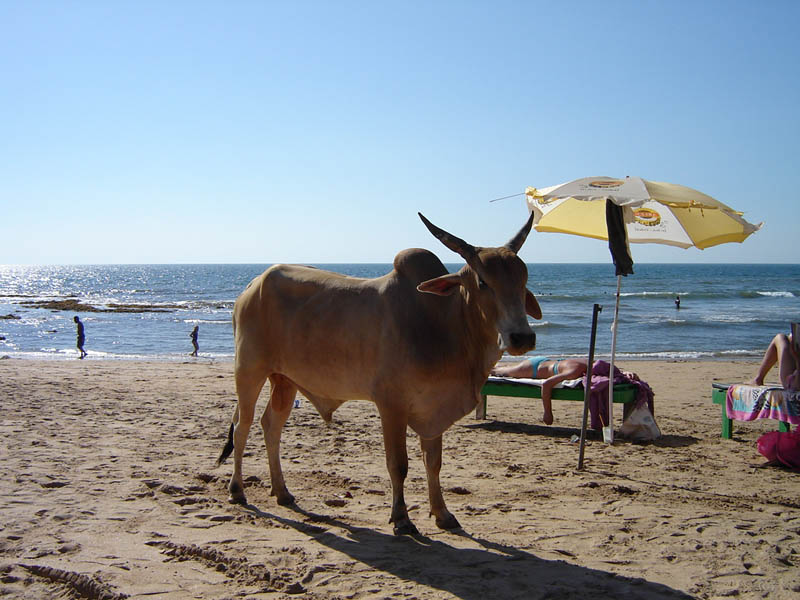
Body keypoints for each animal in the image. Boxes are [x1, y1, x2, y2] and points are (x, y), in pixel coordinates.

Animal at [216, 212, 540, 536]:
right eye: (483, 281)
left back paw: (282, 492)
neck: (444, 323)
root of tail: (252, 285)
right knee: (242, 427)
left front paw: (443, 513)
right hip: (249, 371)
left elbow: (433, 462)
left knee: (271, 426)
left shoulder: (434, 408)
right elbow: (398, 464)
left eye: (523, 279)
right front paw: (402, 518)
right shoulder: (391, 405)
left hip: (285, 380)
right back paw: (237, 490)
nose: (521, 337)